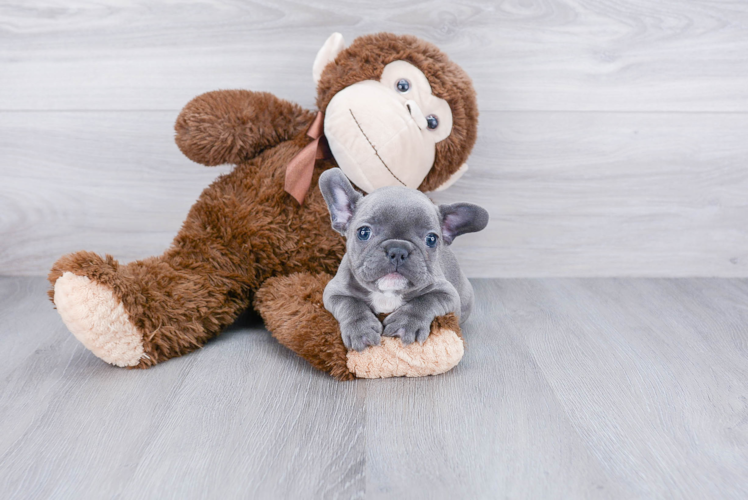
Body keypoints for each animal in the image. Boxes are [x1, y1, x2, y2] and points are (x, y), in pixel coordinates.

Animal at [318, 168, 488, 352]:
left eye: (431, 239)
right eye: (364, 232)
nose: (398, 250)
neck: (387, 293)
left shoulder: (448, 294)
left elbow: (426, 300)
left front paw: (407, 324)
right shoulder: (334, 291)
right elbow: (350, 304)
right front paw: (361, 329)